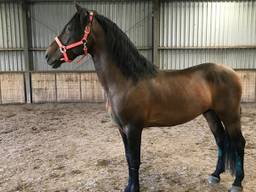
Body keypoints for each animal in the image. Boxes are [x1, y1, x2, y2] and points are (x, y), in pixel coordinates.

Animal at [45, 3, 246, 192]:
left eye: (69, 28)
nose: (48, 55)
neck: (127, 81)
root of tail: (232, 72)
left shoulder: (133, 128)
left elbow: (135, 160)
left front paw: (134, 188)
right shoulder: (122, 129)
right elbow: (128, 158)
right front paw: (128, 187)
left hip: (230, 115)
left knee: (239, 143)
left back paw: (237, 183)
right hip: (210, 113)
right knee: (221, 141)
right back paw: (215, 175)